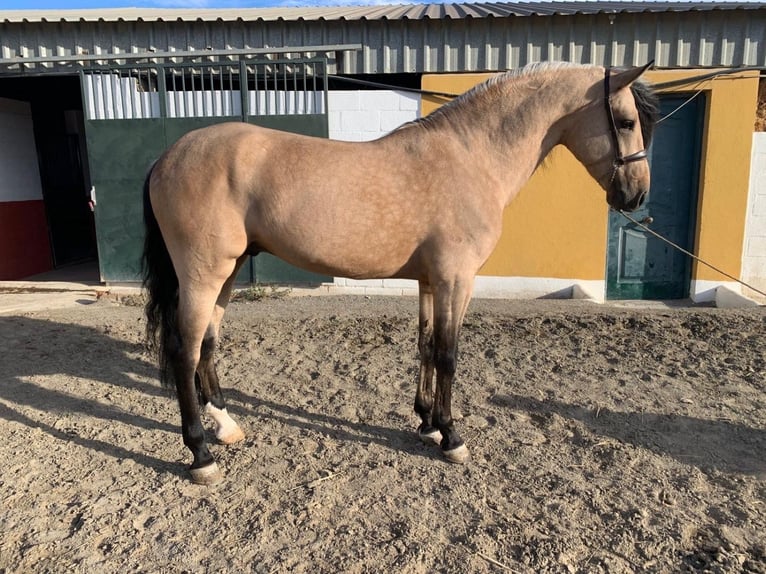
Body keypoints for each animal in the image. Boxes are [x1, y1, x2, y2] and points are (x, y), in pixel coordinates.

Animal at [142, 62, 660, 486]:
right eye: (627, 122)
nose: (635, 196)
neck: (471, 156)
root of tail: (167, 157)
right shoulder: (456, 279)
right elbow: (448, 354)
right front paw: (452, 437)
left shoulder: (431, 281)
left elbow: (426, 346)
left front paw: (427, 423)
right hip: (203, 275)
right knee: (185, 351)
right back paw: (200, 455)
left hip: (225, 275)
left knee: (208, 344)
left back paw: (227, 427)